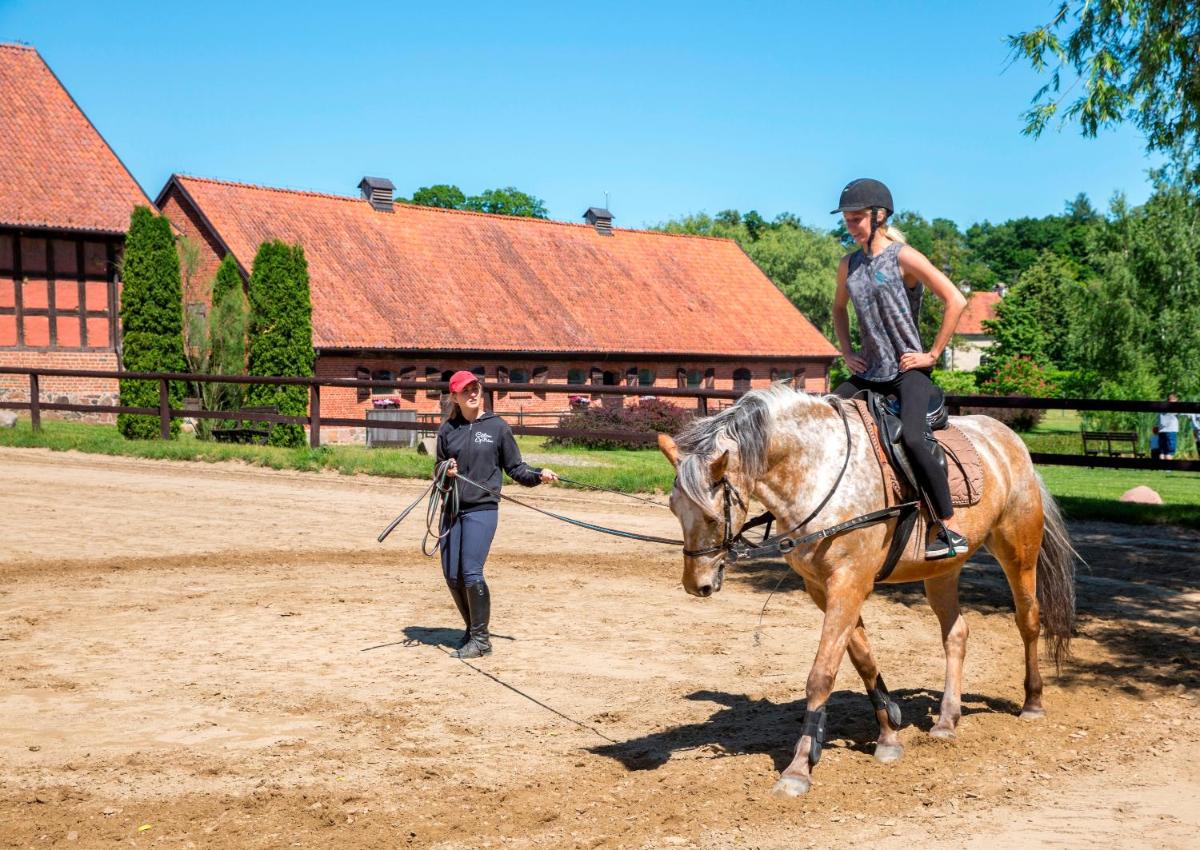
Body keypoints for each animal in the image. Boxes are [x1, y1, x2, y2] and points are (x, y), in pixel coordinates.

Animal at [657, 384, 1080, 797]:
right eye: (674, 508)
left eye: (711, 516)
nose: (697, 584)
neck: (818, 470)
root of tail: (1009, 441)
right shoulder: (822, 587)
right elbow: (862, 660)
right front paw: (889, 735)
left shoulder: (849, 582)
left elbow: (822, 674)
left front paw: (798, 770)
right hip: (942, 570)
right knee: (956, 634)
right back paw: (946, 720)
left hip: (1018, 551)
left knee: (1028, 620)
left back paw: (1032, 702)